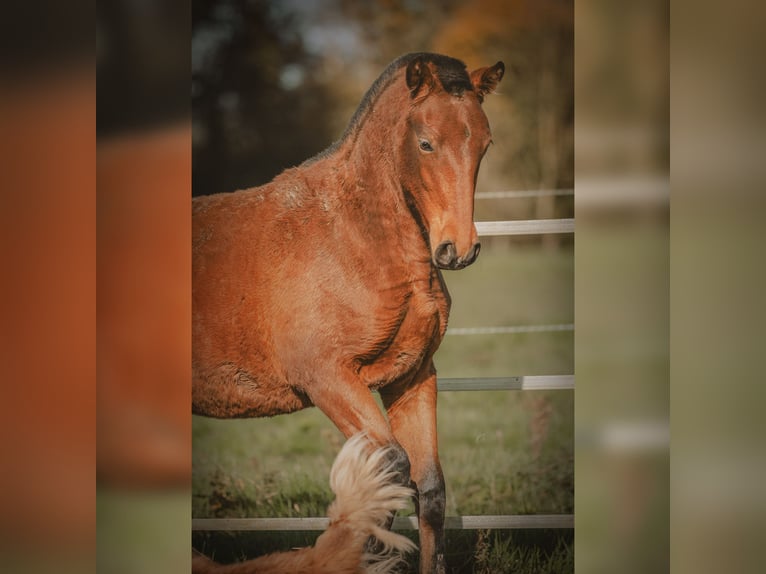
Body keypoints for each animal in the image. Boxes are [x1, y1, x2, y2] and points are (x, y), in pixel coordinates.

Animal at [194, 54, 504, 574]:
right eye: (425, 142)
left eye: (484, 143)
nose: (457, 250)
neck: (351, 238)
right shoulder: (328, 379)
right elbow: (391, 472)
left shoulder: (412, 376)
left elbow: (430, 489)